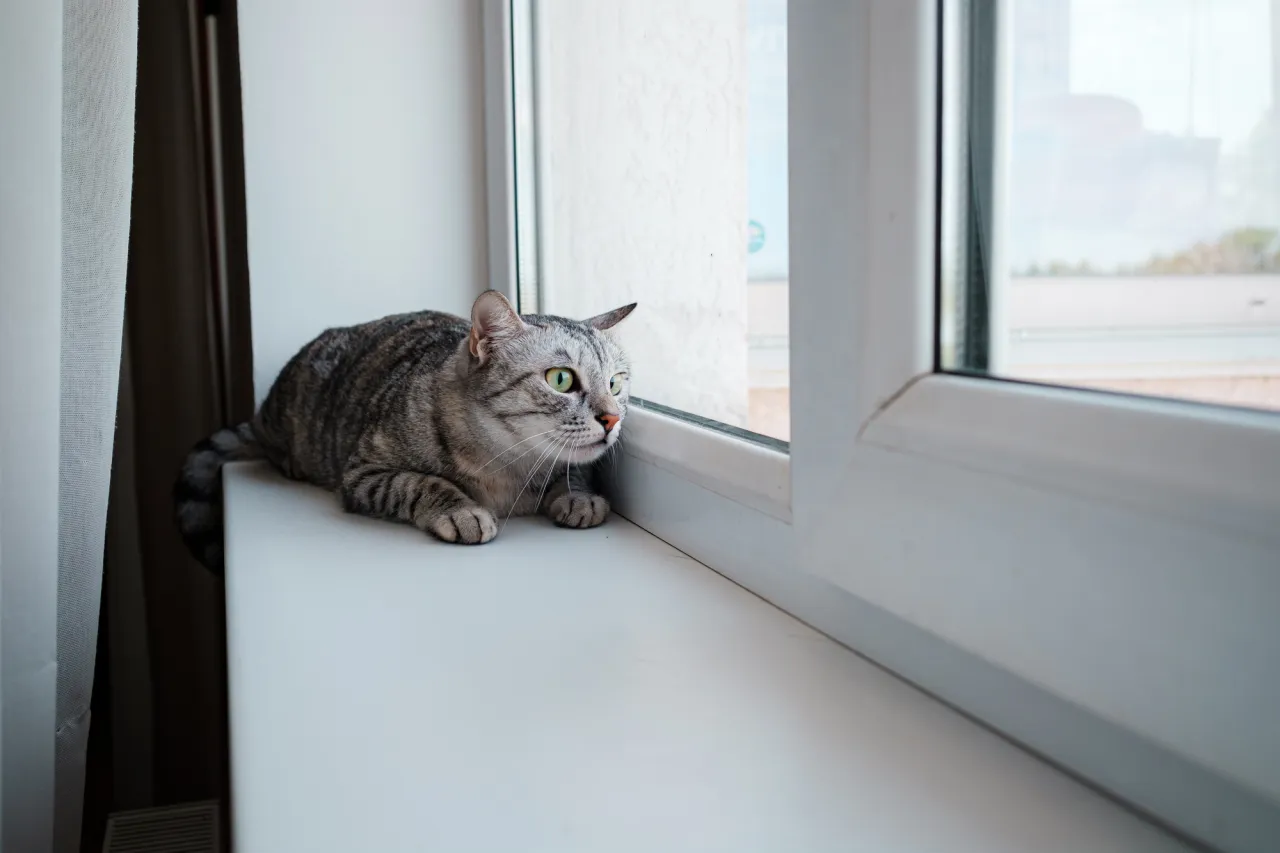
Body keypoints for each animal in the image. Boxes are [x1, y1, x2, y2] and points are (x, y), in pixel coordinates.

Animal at [177, 289, 637, 573]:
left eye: (616, 384)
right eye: (561, 379)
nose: (612, 418)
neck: (510, 468)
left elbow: (573, 470)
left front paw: (577, 495)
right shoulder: (363, 472)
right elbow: (420, 483)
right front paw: (461, 510)